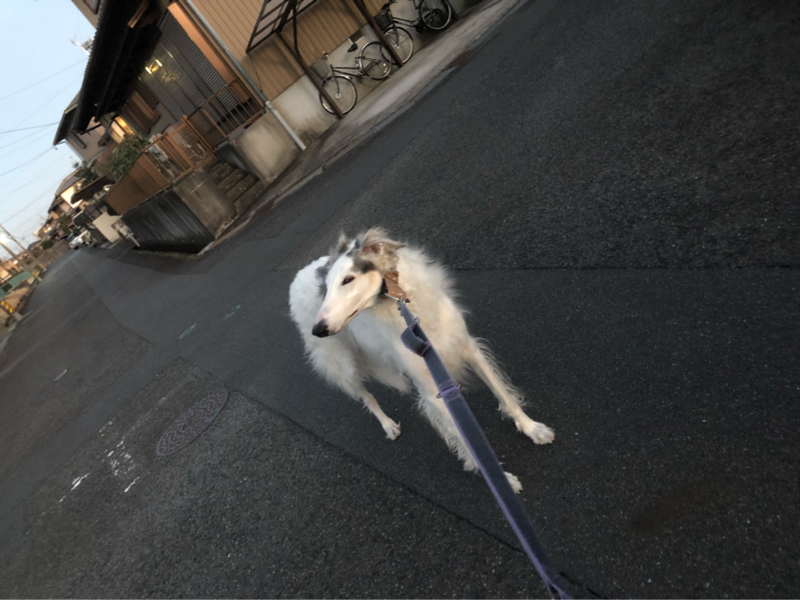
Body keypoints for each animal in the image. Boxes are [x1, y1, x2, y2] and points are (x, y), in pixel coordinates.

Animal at [288, 227, 554, 492]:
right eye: (326, 288)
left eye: (348, 279)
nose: (318, 330)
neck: (405, 308)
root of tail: (297, 276)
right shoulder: (430, 388)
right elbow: (466, 440)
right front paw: (502, 480)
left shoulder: (467, 347)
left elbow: (504, 395)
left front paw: (532, 429)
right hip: (343, 366)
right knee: (366, 396)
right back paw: (388, 425)